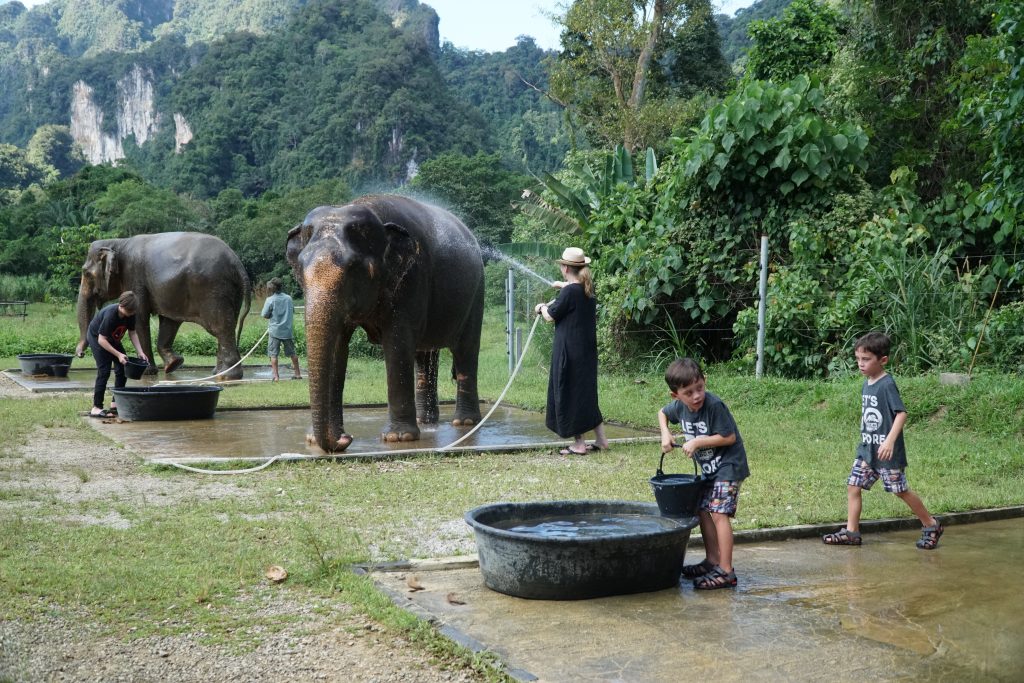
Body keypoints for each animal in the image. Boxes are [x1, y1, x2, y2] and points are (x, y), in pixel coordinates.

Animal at [75, 232, 252, 380]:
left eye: (86, 273)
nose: (80, 354)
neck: (118, 242)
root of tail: (237, 263)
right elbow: (169, 322)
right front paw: (173, 364)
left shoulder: (134, 277)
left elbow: (140, 319)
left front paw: (147, 371)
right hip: (231, 292)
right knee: (228, 326)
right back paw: (218, 373)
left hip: (213, 290)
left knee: (220, 328)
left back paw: (227, 376)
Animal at [286, 194, 484, 453]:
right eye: (300, 267)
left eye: (352, 267)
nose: (345, 440)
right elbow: (338, 347)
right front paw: (312, 440)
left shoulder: (411, 279)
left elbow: (397, 342)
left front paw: (399, 438)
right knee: (425, 355)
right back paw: (426, 422)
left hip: (477, 292)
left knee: (465, 351)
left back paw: (465, 423)